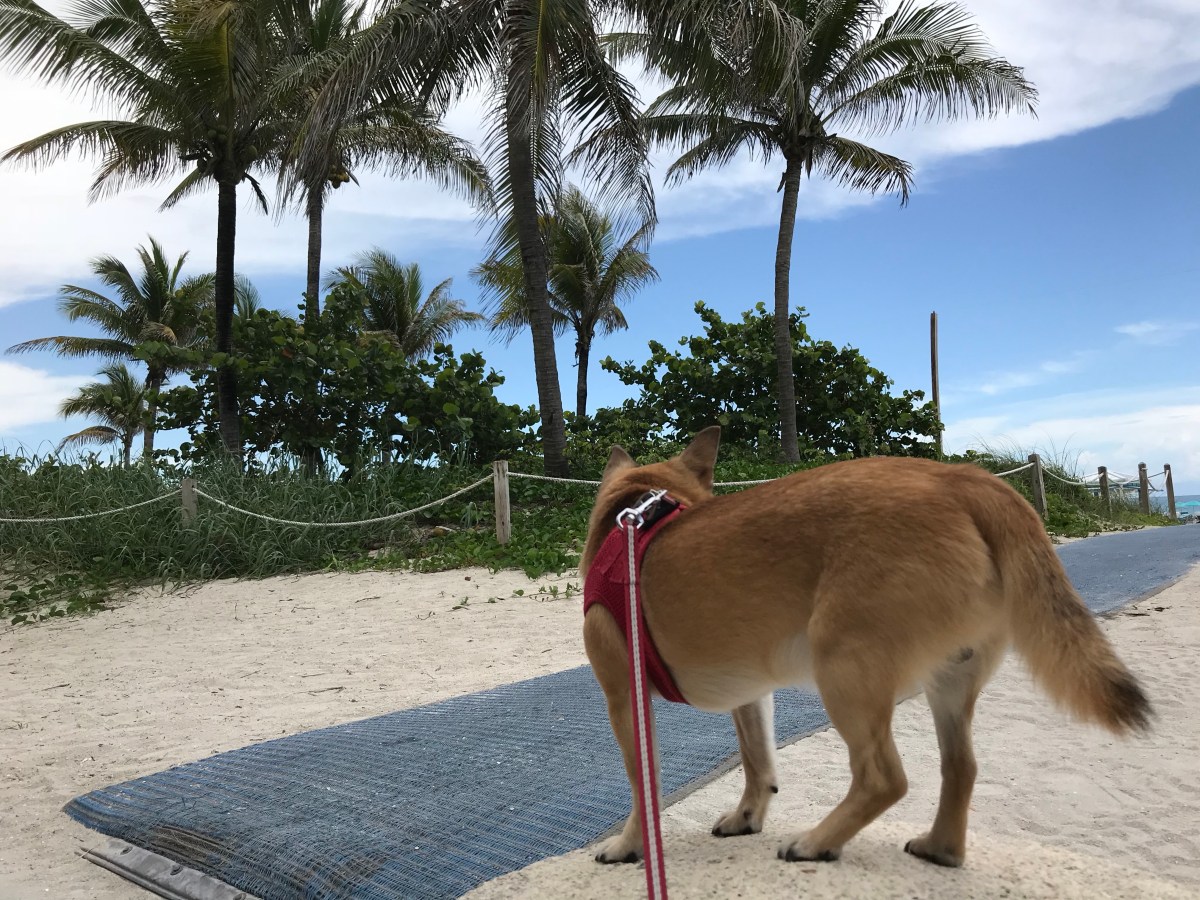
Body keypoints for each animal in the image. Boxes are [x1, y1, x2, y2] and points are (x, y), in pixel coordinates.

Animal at [580, 426, 1151, 868]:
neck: (638, 513)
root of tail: (963, 478)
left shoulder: (623, 698)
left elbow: (643, 783)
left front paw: (630, 845)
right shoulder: (752, 695)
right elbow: (757, 761)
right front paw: (747, 816)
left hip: (843, 670)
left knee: (883, 778)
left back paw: (816, 841)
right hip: (950, 681)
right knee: (960, 768)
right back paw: (939, 848)